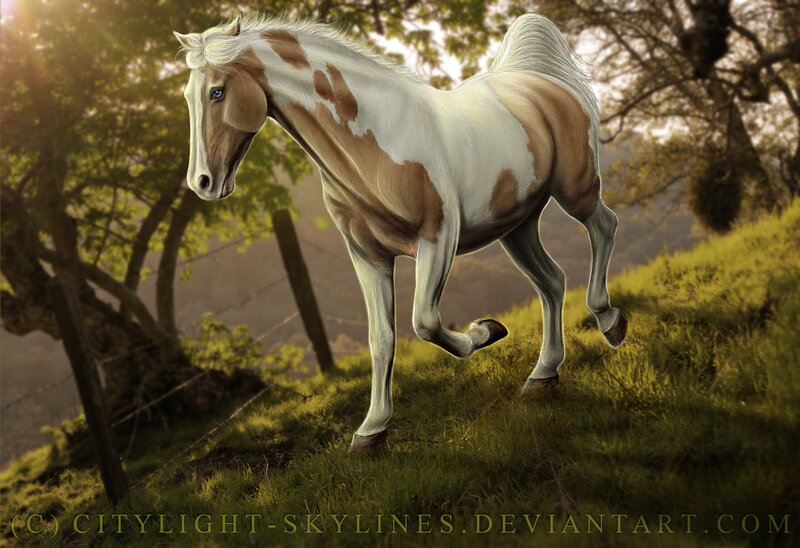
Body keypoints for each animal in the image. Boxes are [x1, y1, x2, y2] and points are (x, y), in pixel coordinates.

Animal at [174, 13, 627, 453]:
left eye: (217, 92)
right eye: (187, 96)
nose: (202, 183)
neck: (376, 144)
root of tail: (538, 81)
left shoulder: (438, 238)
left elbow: (424, 321)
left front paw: (486, 331)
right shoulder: (367, 255)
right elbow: (381, 338)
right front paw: (370, 432)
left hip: (575, 190)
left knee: (604, 227)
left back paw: (610, 323)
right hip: (517, 225)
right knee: (552, 282)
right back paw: (542, 377)